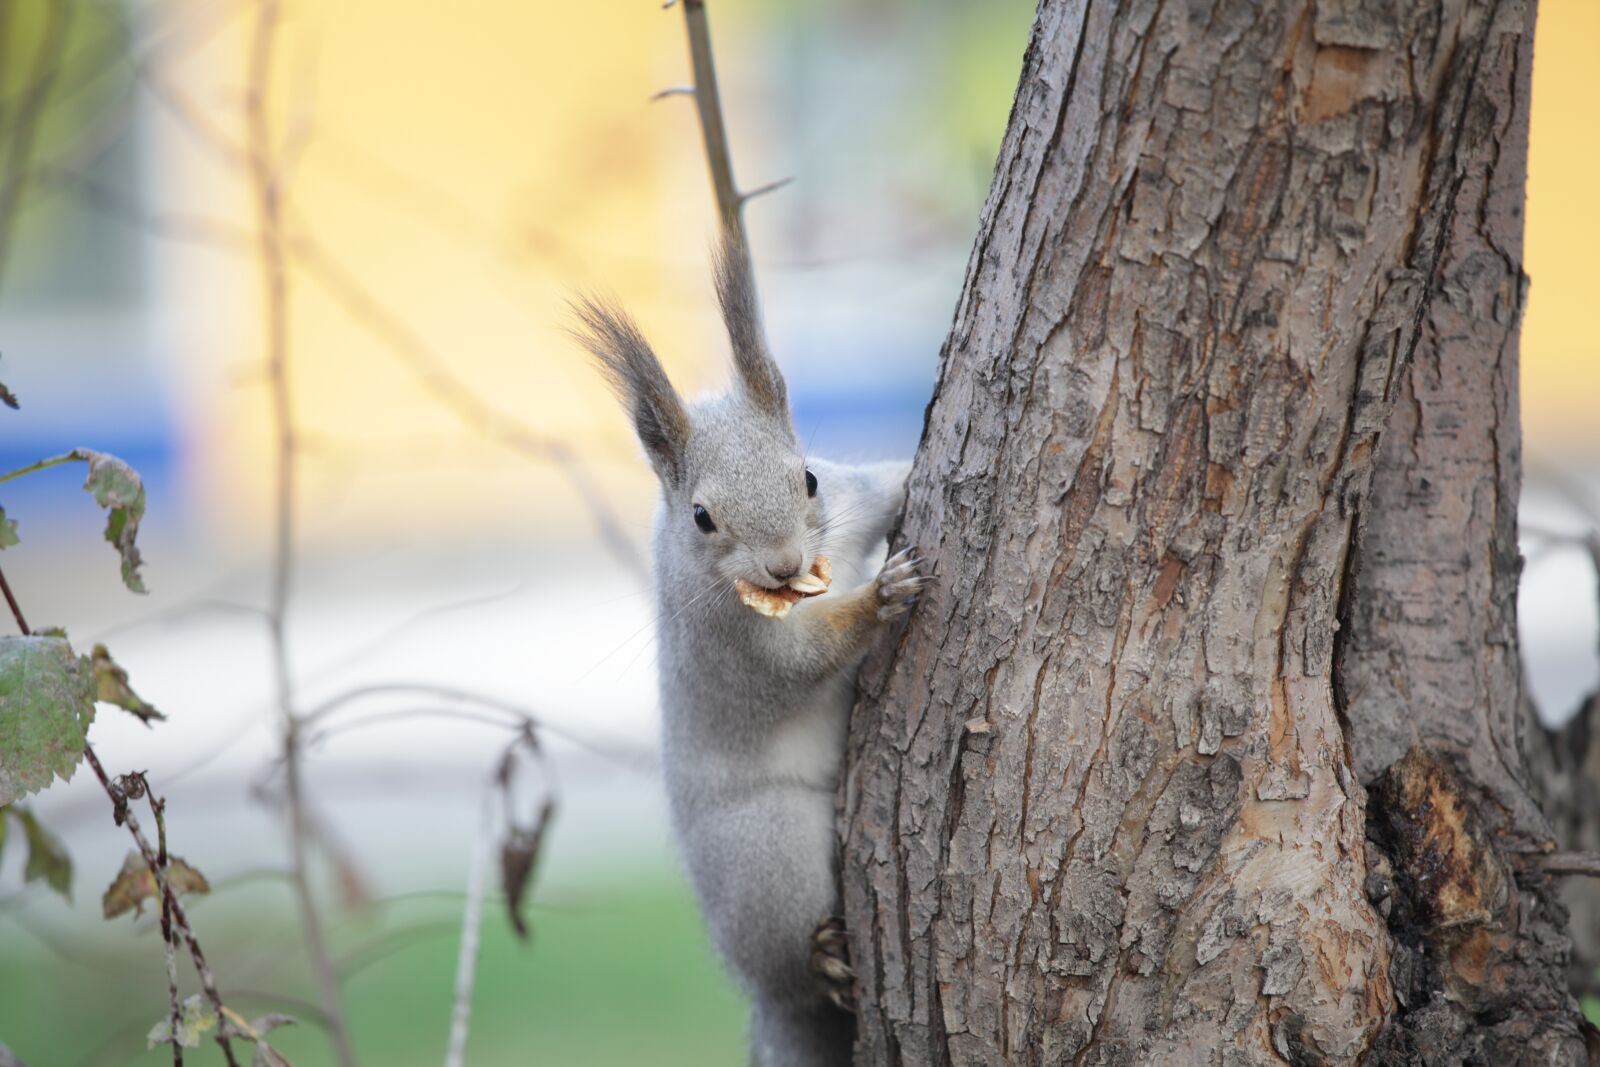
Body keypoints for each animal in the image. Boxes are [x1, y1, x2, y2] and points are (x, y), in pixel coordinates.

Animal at [574, 235, 924, 1067]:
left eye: (809, 477)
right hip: (769, 854)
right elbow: (799, 661)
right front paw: (880, 596)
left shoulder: (852, 501)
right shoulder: (727, 641)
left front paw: (907, 477)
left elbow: (883, 491)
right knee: (790, 961)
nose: (784, 565)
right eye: (703, 516)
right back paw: (821, 959)